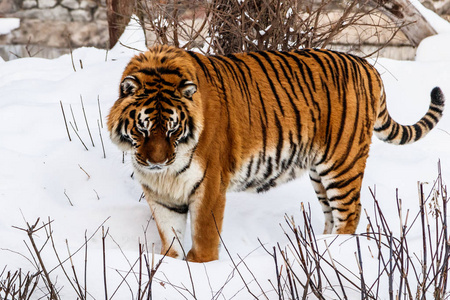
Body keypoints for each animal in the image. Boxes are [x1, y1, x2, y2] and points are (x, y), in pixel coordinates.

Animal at [107, 44, 444, 262]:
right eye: (143, 129)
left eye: (173, 130)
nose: (157, 162)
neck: (166, 174)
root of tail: (367, 66)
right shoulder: (161, 194)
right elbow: (170, 241)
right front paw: (170, 266)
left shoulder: (209, 185)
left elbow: (203, 240)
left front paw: (201, 270)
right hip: (319, 173)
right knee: (331, 214)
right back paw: (319, 247)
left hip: (342, 164)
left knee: (350, 213)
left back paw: (336, 252)